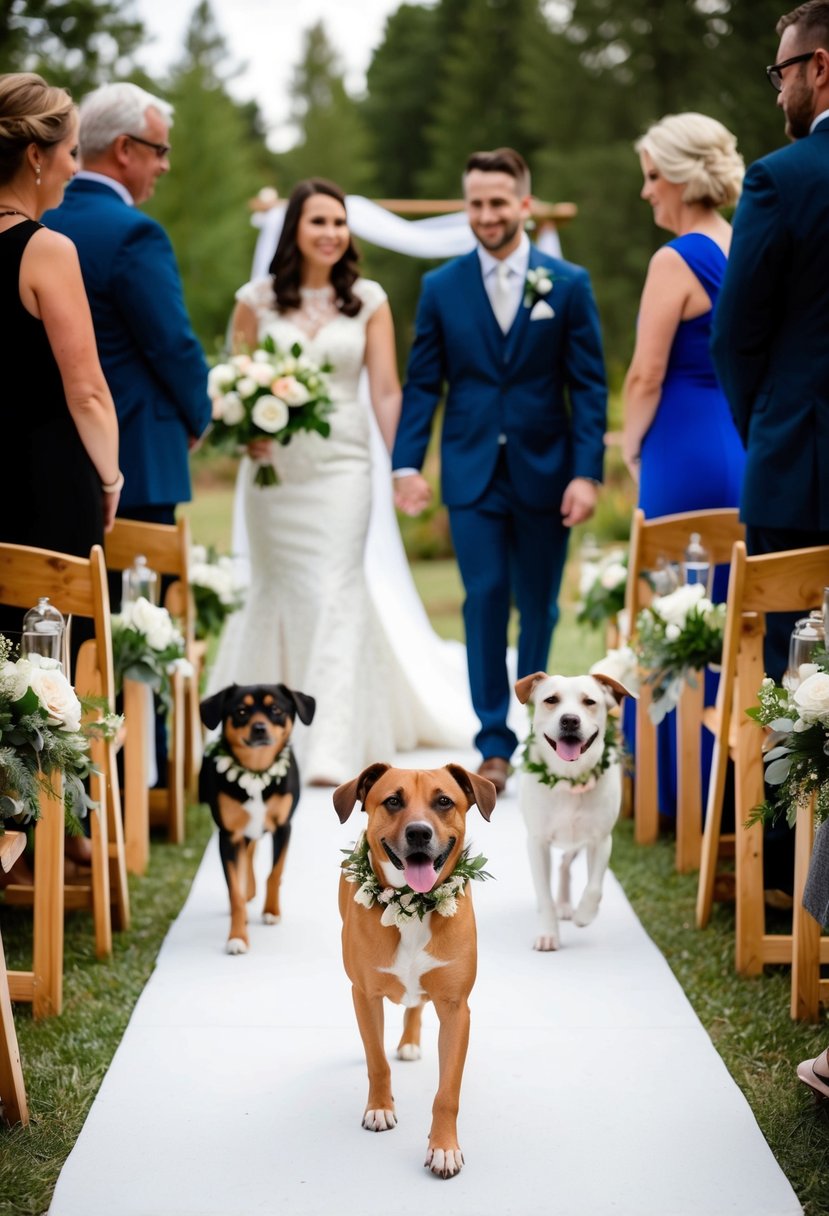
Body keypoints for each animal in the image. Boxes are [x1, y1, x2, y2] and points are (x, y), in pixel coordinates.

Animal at [199, 685, 313, 948]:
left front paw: (271, 911)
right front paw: (237, 937)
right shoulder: (228, 836)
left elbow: (274, 873)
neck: (256, 772)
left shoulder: (283, 827)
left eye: (276, 709)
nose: (259, 727)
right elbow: (235, 890)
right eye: (241, 711)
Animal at [333, 758, 493, 1177]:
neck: (412, 903)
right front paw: (379, 1108)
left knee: (415, 1005)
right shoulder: (365, 993)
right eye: (392, 800)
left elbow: (447, 1092)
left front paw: (444, 1148)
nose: (419, 832)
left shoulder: (456, 1008)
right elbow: (376, 1060)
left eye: (443, 801)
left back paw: (409, 1040)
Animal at [510, 671, 627, 953]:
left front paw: (585, 914)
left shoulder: (601, 839)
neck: (569, 780)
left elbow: (594, 887)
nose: (570, 720)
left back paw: (566, 904)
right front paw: (548, 933)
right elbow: (543, 892)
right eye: (551, 700)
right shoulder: (537, 843)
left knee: (565, 863)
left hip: (577, 843)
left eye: (590, 701)